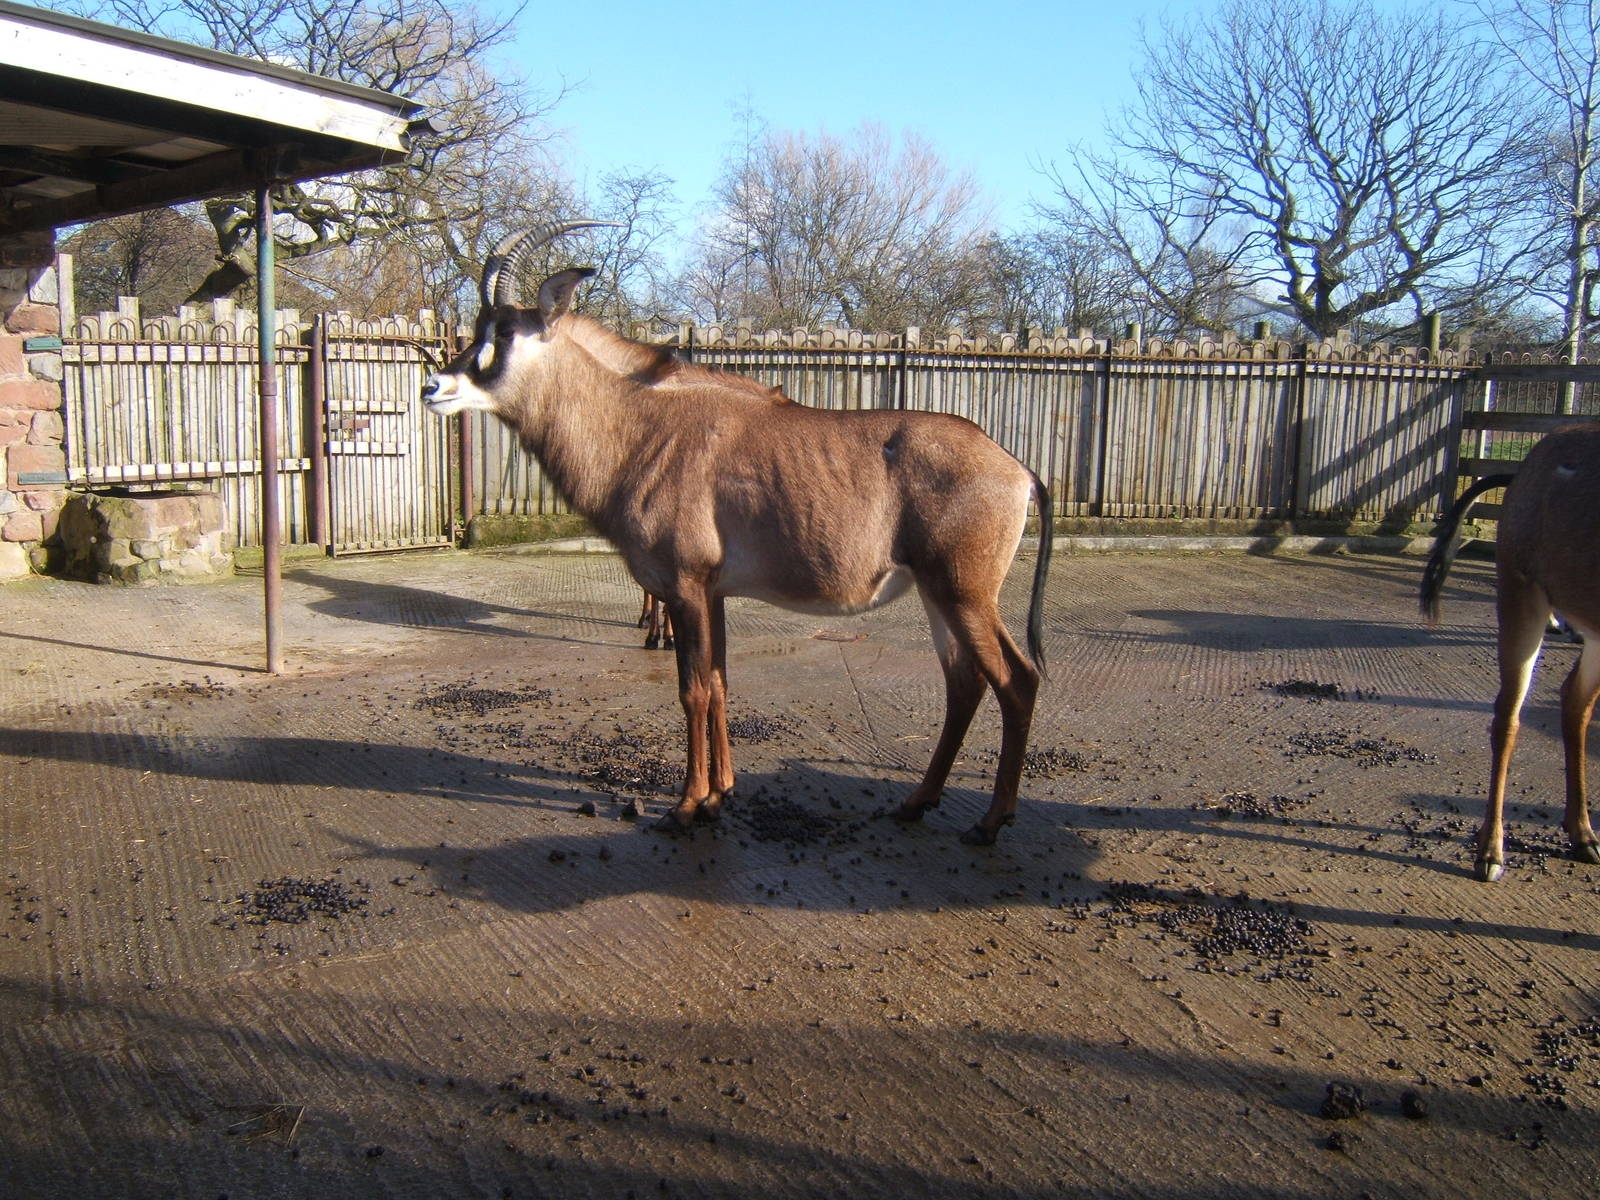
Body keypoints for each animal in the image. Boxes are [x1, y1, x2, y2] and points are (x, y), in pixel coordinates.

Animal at [421, 221, 1054, 844]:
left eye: (505, 332)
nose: (434, 388)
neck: (639, 426)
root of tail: (1018, 470)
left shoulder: (684, 587)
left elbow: (692, 690)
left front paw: (686, 805)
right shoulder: (714, 593)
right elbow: (720, 683)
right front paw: (721, 793)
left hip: (964, 593)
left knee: (1016, 680)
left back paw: (991, 820)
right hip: (937, 595)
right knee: (964, 684)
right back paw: (918, 802)